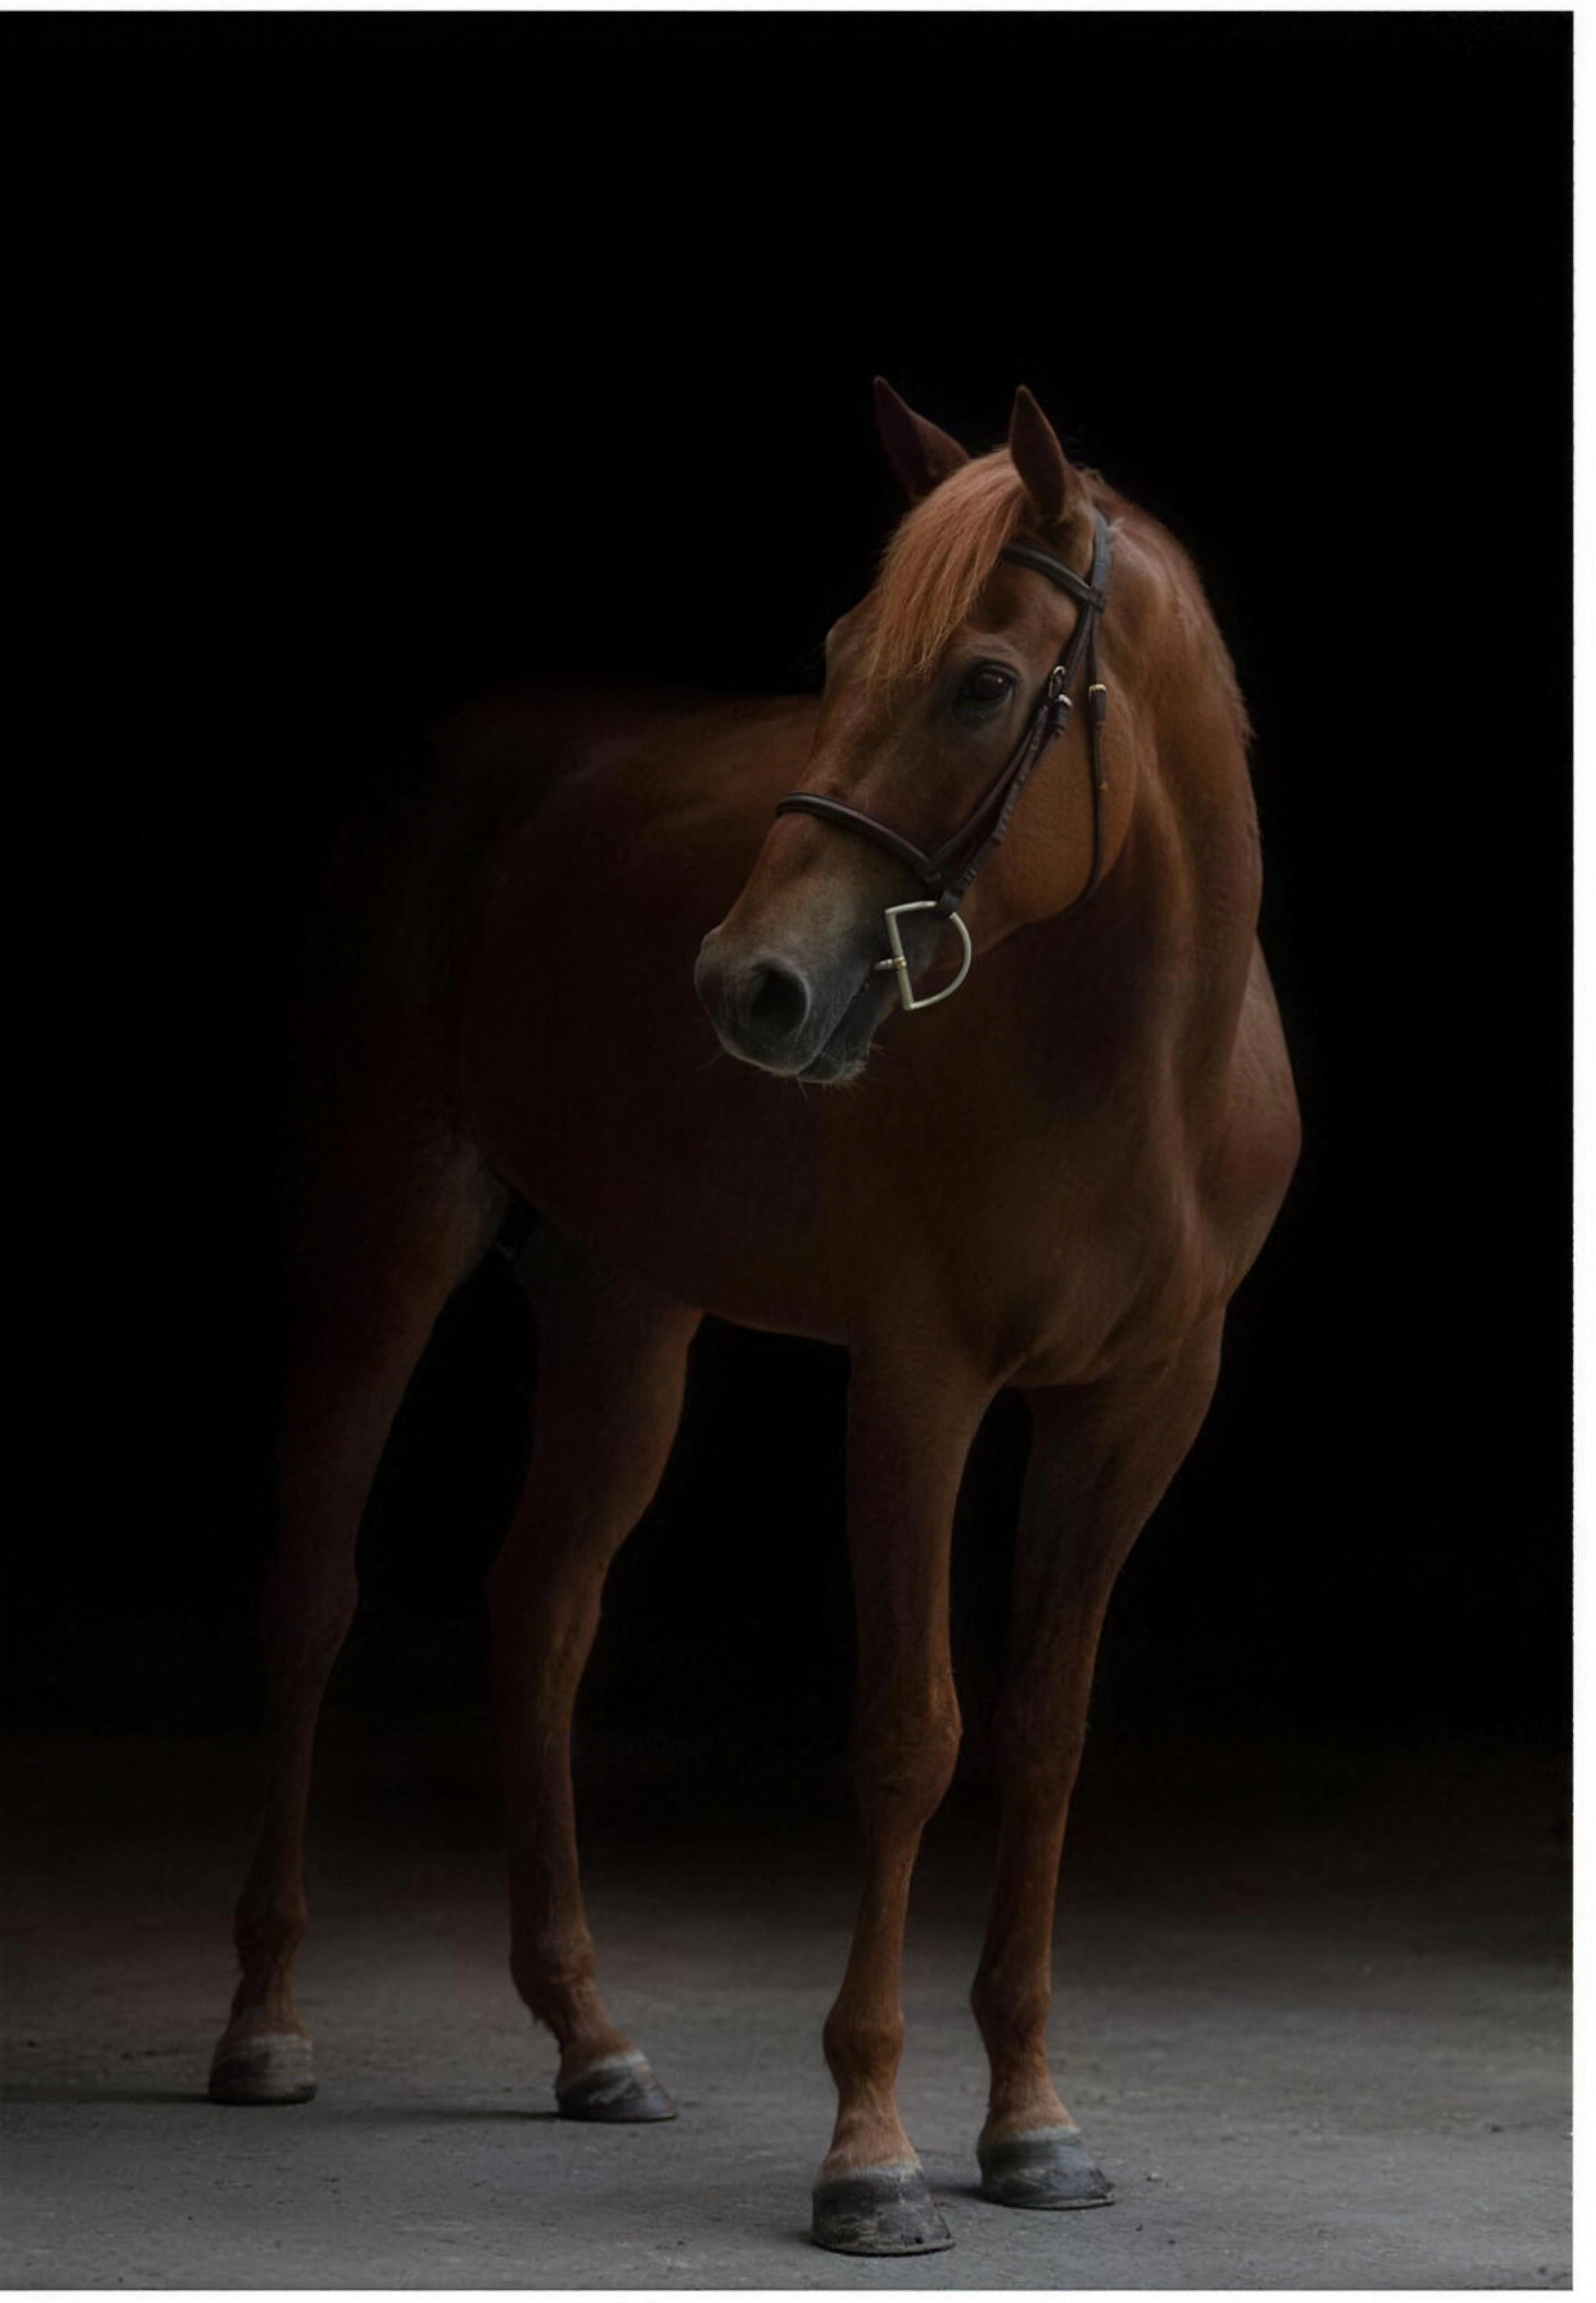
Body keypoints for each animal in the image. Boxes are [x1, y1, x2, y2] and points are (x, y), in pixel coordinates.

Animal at [206, 380, 1300, 2258]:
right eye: (841, 653)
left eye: (983, 684)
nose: (752, 988)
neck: (1138, 1069)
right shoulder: (918, 1384)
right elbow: (909, 1734)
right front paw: (869, 2153)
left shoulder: (1138, 1405)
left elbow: (1045, 1736)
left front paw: (1031, 2126)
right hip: (382, 1250)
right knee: (311, 1600)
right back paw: (265, 2021)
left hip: (626, 1311)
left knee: (541, 1611)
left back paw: (588, 2038)